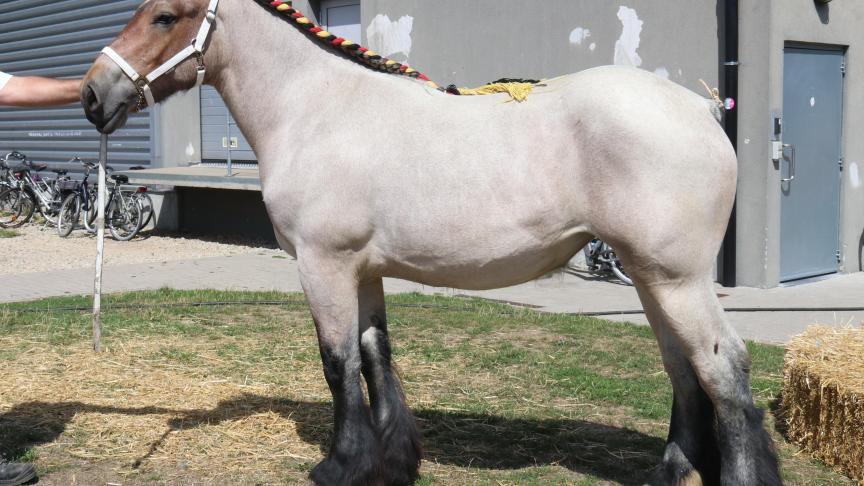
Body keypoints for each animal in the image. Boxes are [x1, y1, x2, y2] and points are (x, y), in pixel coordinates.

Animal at [81, 1, 784, 484]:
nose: (92, 94)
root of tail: (699, 109)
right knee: (684, 371)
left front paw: (340, 465)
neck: (318, 109)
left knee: (724, 368)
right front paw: (393, 461)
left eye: (165, 16)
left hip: (676, 279)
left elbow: (337, 363)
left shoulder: (323, 265)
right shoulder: (363, 269)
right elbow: (375, 357)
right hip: (649, 278)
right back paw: (667, 474)